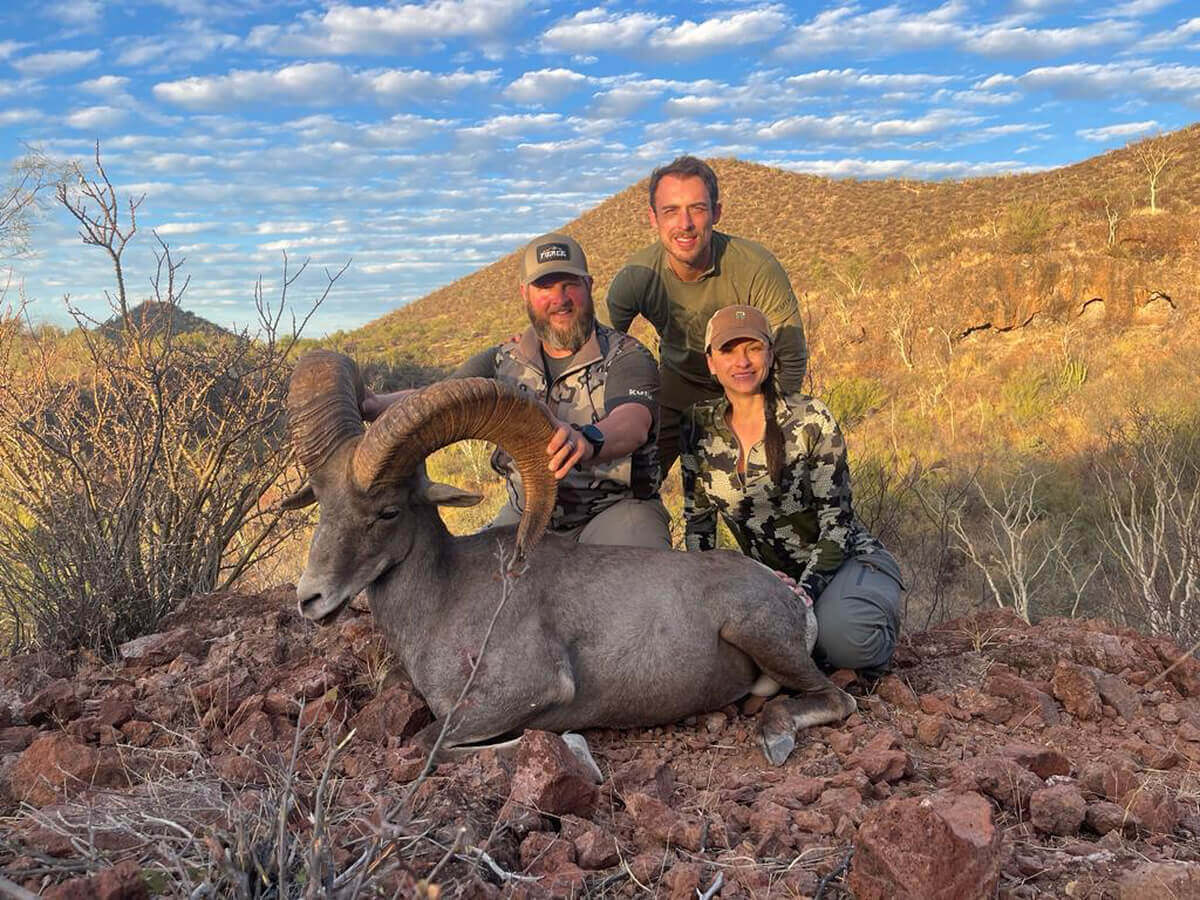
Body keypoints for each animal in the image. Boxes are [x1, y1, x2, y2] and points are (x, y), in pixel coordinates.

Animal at [282, 350, 856, 766]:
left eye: (388, 511)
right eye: (320, 500)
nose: (311, 599)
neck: (445, 598)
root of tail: (788, 593)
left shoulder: (529, 692)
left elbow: (431, 746)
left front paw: (575, 752)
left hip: (757, 632)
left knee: (837, 699)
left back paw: (774, 736)